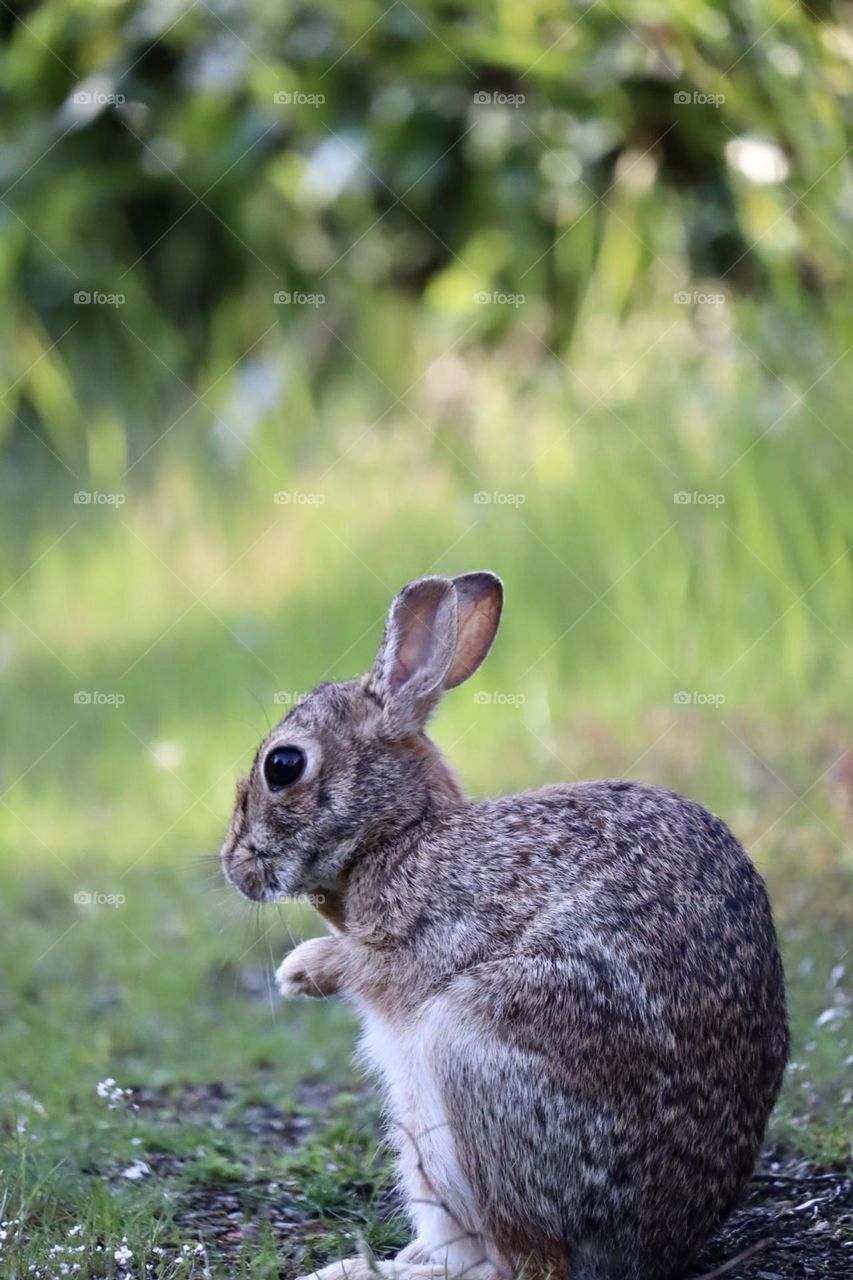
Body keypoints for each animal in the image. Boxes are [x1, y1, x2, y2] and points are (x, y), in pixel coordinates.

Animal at [221, 571, 789, 1280]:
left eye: (283, 765)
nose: (233, 866)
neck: (400, 834)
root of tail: (651, 1247)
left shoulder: (433, 927)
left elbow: (367, 958)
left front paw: (299, 971)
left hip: (475, 1059)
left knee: (522, 1262)